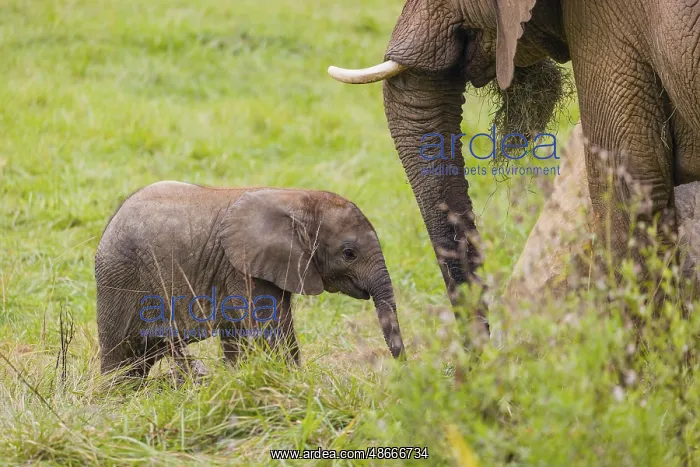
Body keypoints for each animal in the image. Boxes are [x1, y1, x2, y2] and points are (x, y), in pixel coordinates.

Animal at [95, 181, 405, 380]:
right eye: (349, 253)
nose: (403, 368)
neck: (296, 199)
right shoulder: (241, 266)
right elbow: (272, 330)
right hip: (121, 278)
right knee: (121, 356)